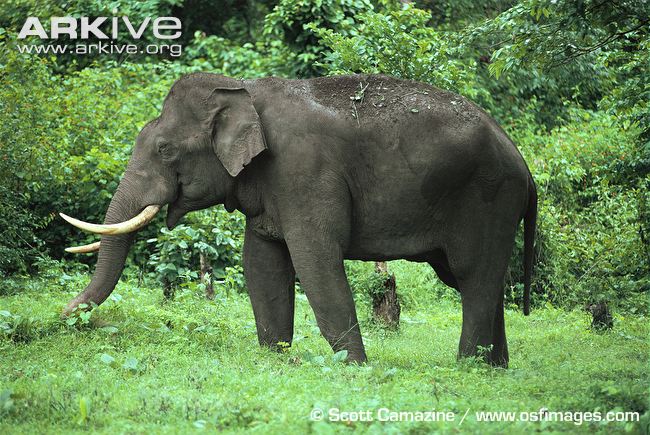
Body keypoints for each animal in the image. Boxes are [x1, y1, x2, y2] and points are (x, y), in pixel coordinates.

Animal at [61, 73, 537, 367]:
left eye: (164, 150)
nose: (61, 320)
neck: (243, 91)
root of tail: (524, 165)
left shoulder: (305, 172)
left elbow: (316, 260)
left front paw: (355, 368)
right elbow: (262, 263)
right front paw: (276, 357)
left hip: (488, 197)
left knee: (473, 276)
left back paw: (468, 367)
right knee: (479, 279)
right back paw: (495, 368)